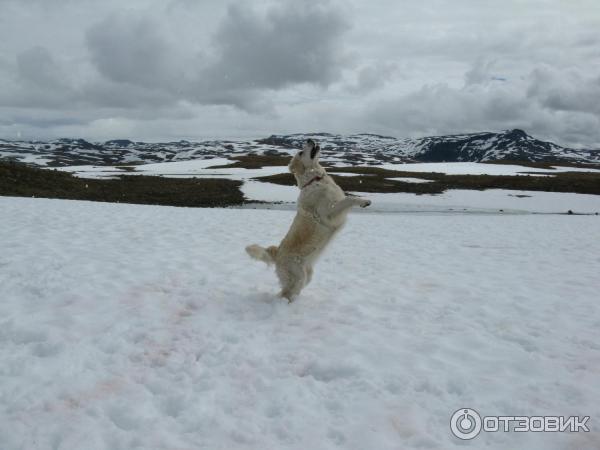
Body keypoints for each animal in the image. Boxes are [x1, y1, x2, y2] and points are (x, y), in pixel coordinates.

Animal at [245, 139, 370, 300]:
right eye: (300, 152)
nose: (310, 139)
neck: (315, 180)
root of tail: (277, 253)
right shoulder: (327, 214)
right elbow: (349, 199)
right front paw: (363, 202)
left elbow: (349, 197)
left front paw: (364, 200)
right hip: (298, 276)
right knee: (286, 293)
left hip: (307, 275)